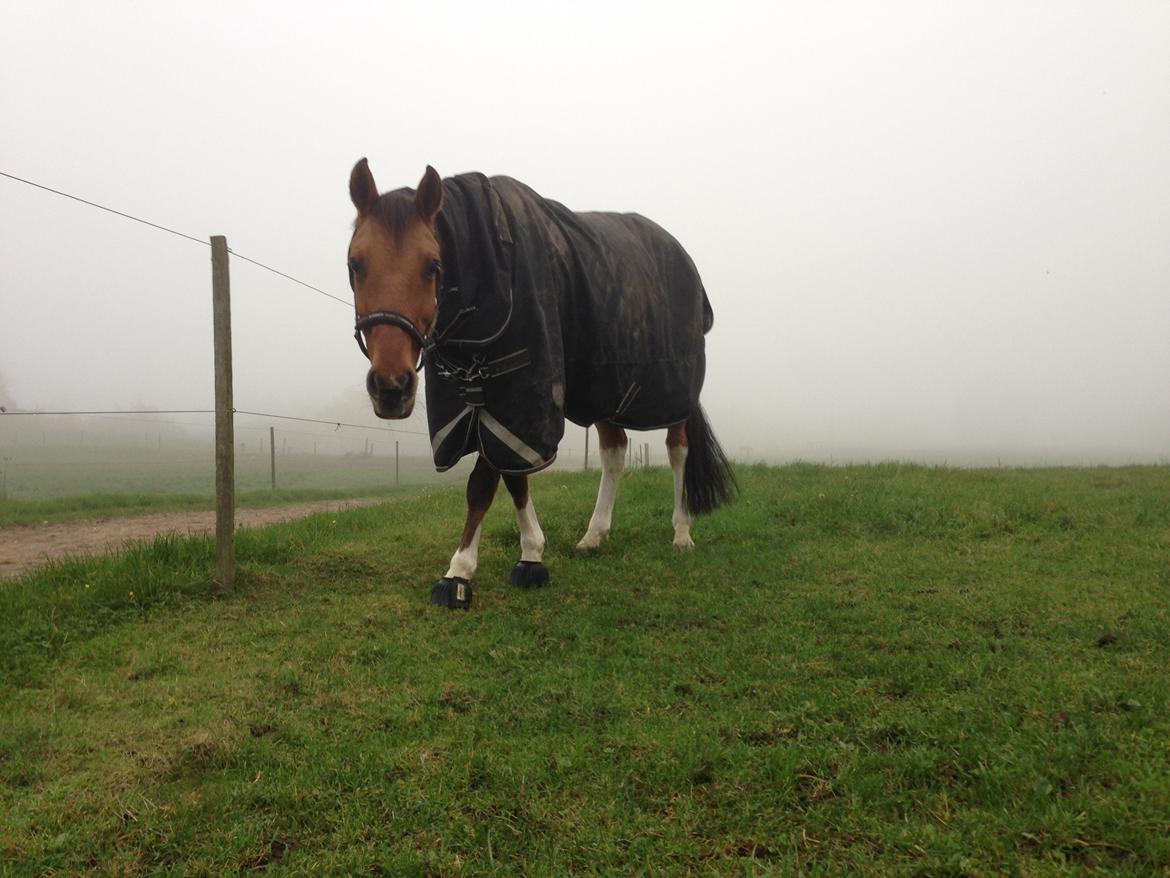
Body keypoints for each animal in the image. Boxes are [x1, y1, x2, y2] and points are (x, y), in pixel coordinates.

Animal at [341, 160, 734, 613]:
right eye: (355, 263)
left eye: (433, 265)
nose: (391, 386)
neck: (493, 275)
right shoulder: (494, 402)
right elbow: (514, 477)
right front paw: (531, 554)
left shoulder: (520, 394)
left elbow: (483, 484)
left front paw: (459, 572)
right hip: (605, 389)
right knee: (614, 452)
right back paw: (594, 535)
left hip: (673, 390)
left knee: (678, 450)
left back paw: (681, 531)